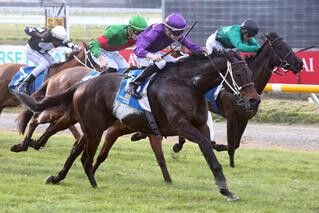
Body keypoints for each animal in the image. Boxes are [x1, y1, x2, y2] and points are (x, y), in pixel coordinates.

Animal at [17, 50, 262, 201]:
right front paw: (223, 186)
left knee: (75, 149)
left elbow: (206, 148)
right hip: (93, 127)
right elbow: (205, 146)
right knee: (80, 151)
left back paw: (57, 177)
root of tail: (81, 84)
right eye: (238, 73)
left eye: (250, 71)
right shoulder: (182, 126)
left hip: (93, 127)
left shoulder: (200, 125)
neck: (187, 85)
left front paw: (226, 189)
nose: (254, 100)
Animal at [172, 32, 304, 167]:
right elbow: (231, 145)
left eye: (287, 44)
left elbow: (236, 144)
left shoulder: (244, 118)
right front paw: (226, 158)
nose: (299, 63)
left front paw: (223, 153)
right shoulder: (231, 117)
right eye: (279, 46)